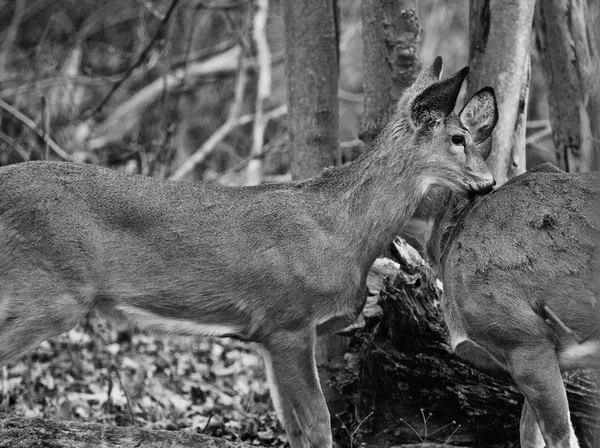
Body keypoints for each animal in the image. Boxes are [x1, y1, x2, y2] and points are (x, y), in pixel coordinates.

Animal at [0, 57, 496, 446]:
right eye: (458, 138)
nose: (489, 182)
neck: (342, 231)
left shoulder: (267, 336)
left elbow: (293, 427)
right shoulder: (288, 322)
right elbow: (317, 425)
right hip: (49, 294)